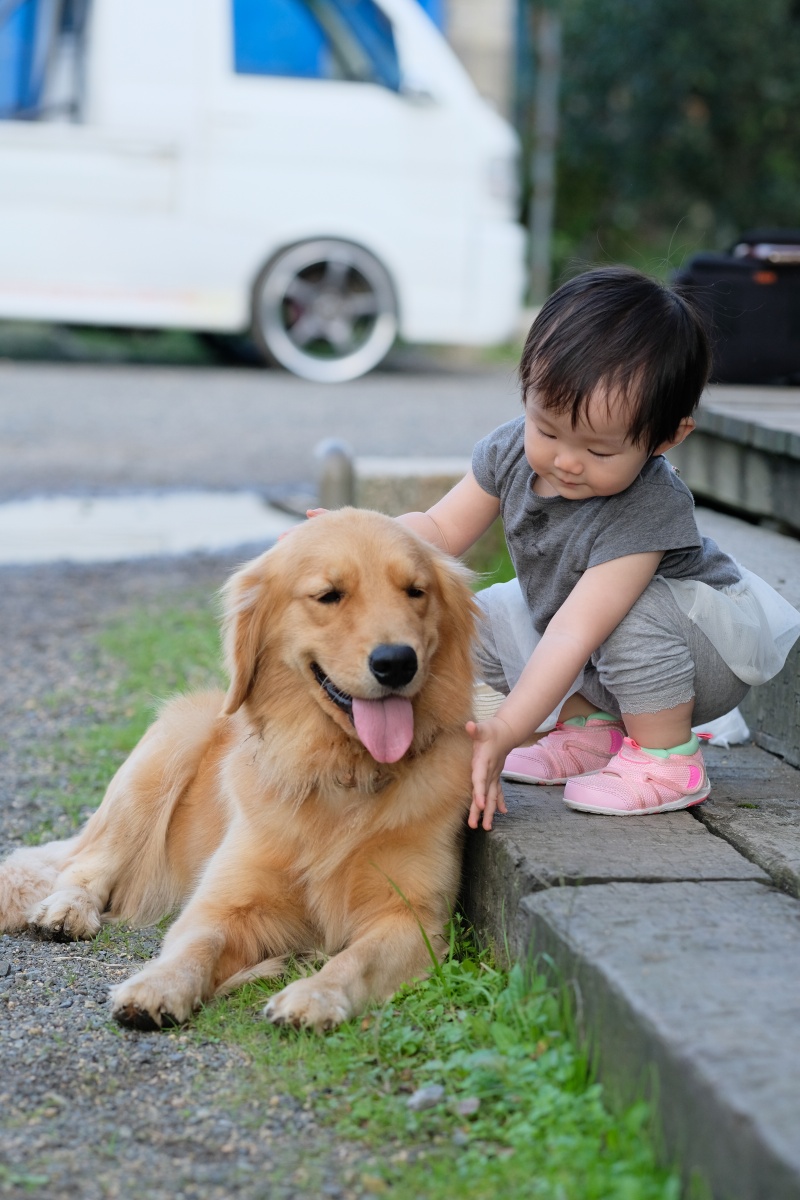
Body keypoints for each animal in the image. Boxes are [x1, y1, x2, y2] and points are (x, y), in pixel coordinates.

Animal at [0, 508, 474, 1032]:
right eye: (329, 594)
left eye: (416, 591)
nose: (397, 662)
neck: (338, 773)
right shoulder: (226, 899)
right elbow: (198, 943)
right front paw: (158, 986)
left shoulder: (414, 917)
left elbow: (355, 959)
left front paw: (314, 994)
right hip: (165, 753)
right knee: (85, 862)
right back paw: (68, 909)